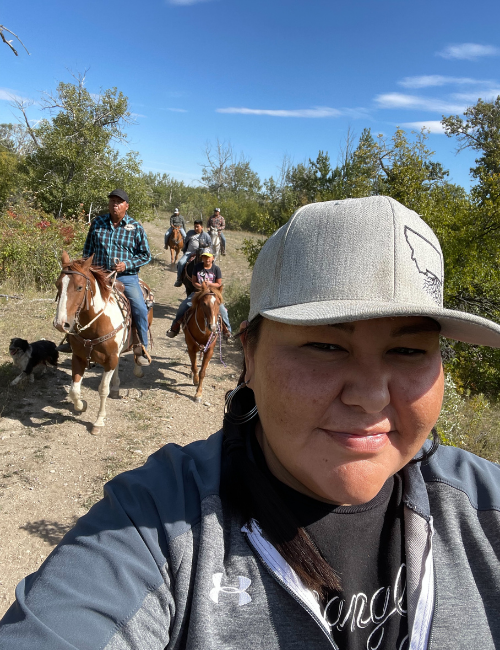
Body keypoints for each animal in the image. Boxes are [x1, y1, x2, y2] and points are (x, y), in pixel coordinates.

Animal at [53, 251, 152, 432]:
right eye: (58, 285)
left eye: (79, 287)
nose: (60, 323)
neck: (95, 324)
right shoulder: (79, 358)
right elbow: (74, 390)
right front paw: (82, 406)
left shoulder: (110, 359)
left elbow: (102, 390)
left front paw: (98, 421)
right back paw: (116, 387)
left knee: (138, 349)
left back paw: (139, 366)